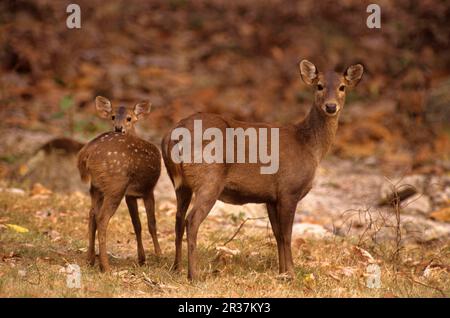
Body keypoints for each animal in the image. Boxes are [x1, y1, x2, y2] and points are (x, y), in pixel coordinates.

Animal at [78, 95, 162, 272]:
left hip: (96, 187)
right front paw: (159, 255)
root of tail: (87, 151)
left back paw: (90, 260)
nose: (118, 128)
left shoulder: (131, 195)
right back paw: (106, 267)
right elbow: (151, 223)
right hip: (116, 185)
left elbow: (137, 224)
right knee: (102, 218)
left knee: (92, 214)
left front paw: (142, 258)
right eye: (112, 116)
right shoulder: (148, 190)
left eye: (129, 118)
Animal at [162, 60, 362, 280]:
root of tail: (172, 135)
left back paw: (176, 267)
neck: (309, 146)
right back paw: (194, 275)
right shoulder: (288, 190)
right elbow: (287, 235)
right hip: (209, 179)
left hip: (181, 184)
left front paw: (282, 272)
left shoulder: (271, 197)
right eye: (319, 86)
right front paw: (291, 274)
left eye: (342, 87)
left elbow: (277, 234)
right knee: (192, 220)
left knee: (178, 219)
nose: (331, 106)